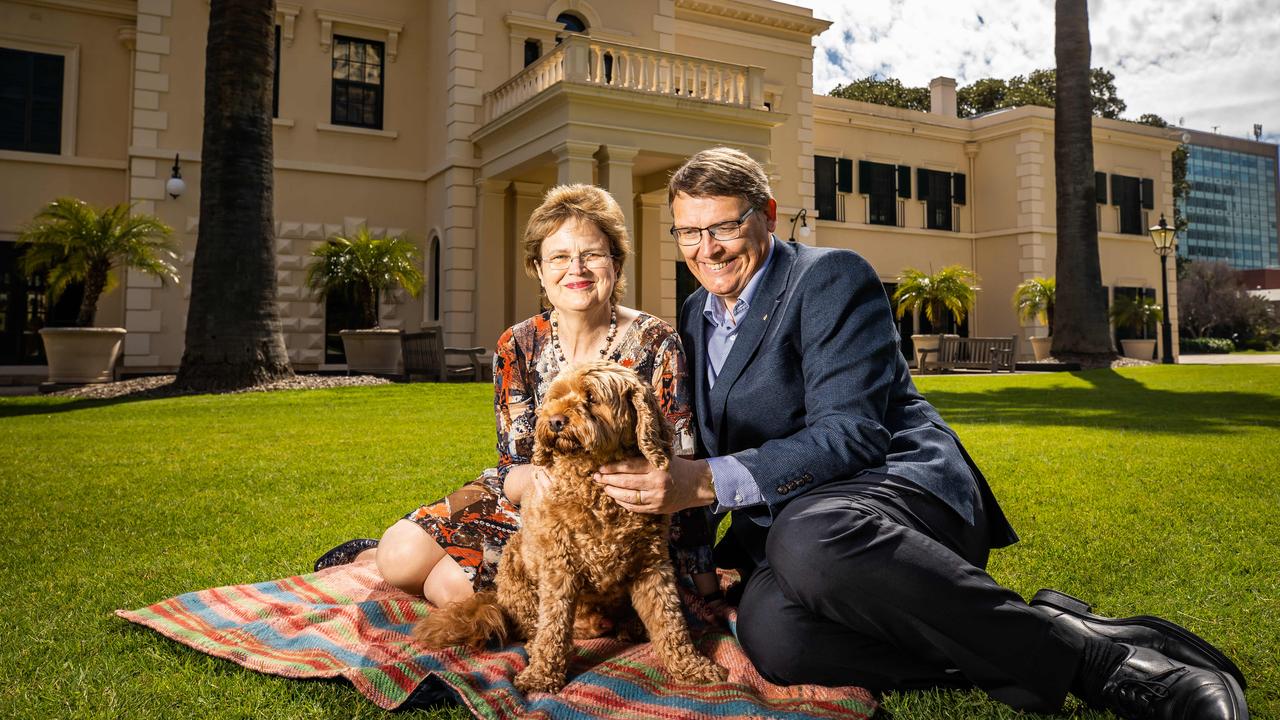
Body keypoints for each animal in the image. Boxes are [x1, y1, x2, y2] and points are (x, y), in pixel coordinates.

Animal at [414, 361, 727, 691]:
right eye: (555, 397)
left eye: (591, 397)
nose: (554, 421)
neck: (595, 486)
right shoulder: (559, 567)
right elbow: (553, 626)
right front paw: (542, 674)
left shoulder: (652, 566)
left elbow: (670, 620)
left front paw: (691, 666)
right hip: (514, 566)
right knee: (534, 626)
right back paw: (538, 645)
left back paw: (631, 626)